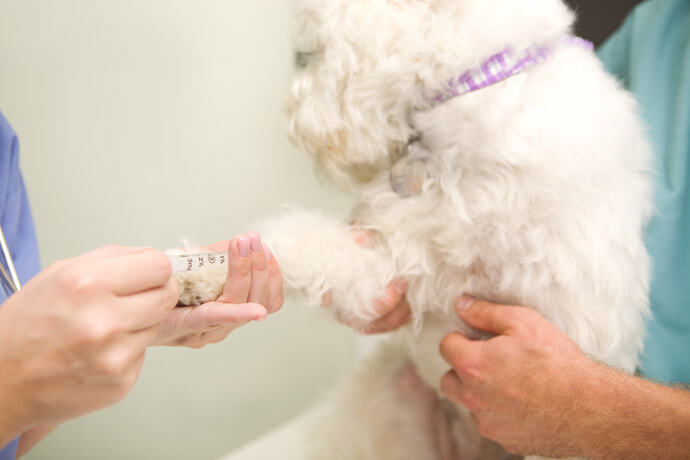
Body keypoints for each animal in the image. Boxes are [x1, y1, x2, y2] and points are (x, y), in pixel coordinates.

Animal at [177, 0, 652, 458]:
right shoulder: (391, 263)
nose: (292, 119)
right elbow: (311, 247)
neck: (476, 85)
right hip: (394, 398)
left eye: (307, 55)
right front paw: (204, 270)